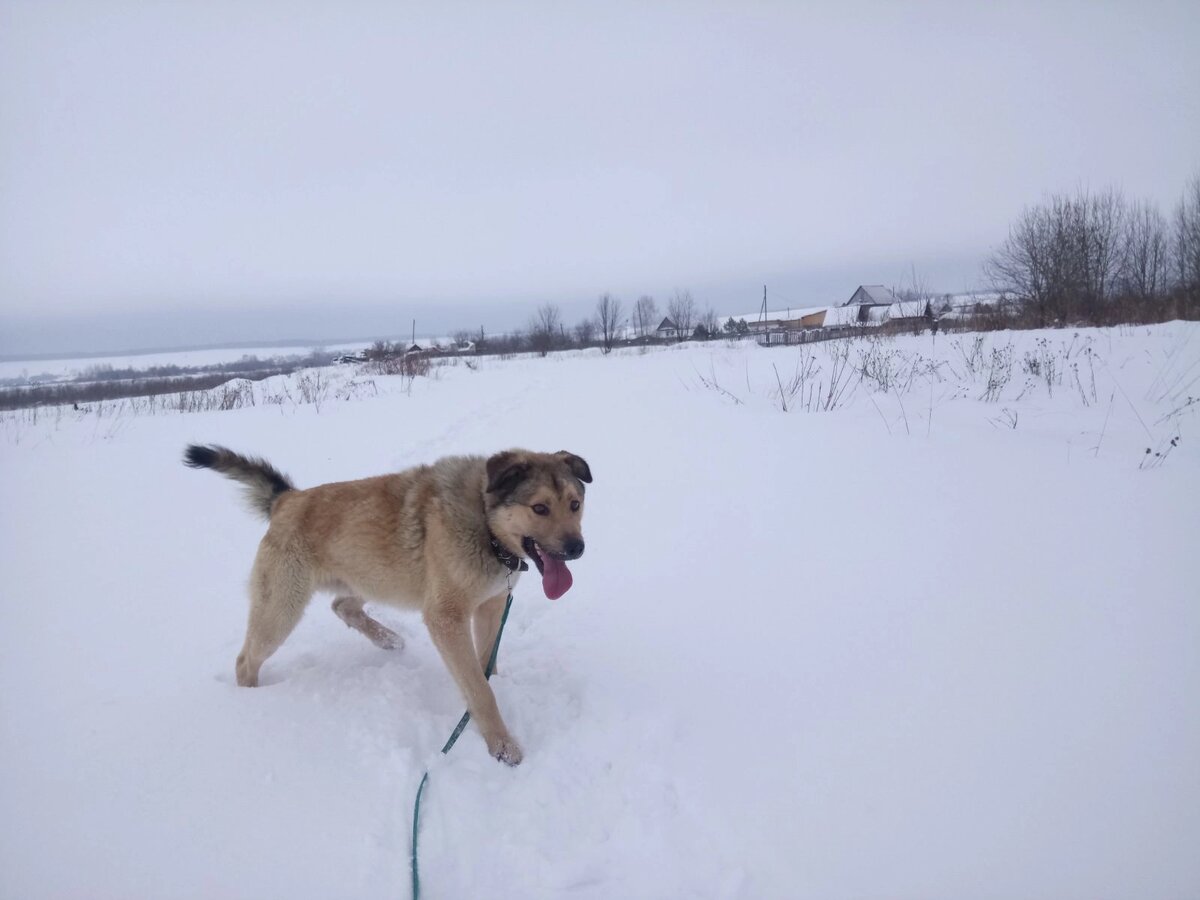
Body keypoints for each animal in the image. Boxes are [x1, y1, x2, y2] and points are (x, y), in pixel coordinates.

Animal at [182, 448, 590, 763]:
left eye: (575, 505)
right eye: (540, 508)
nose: (576, 548)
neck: (485, 522)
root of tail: (288, 500)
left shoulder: (491, 603)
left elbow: (485, 663)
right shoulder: (446, 618)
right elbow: (480, 689)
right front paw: (501, 744)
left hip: (372, 577)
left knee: (342, 606)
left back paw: (387, 639)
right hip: (282, 609)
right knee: (245, 660)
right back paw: (252, 705)